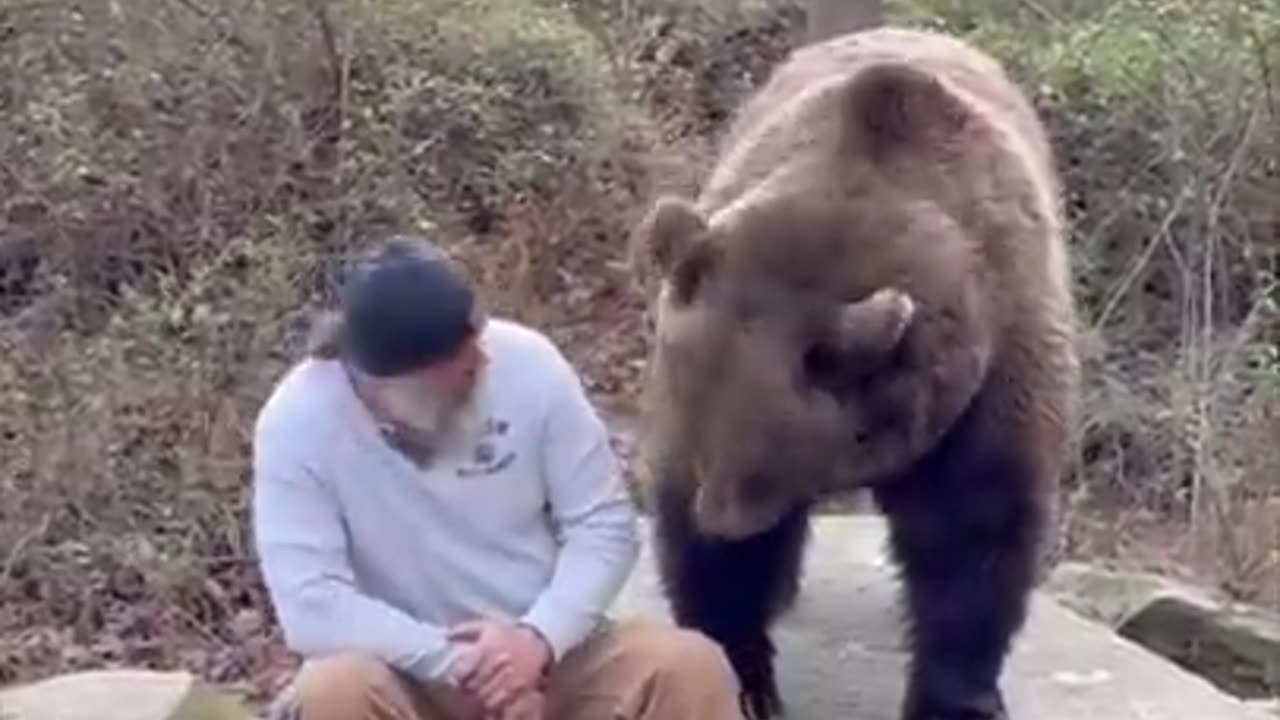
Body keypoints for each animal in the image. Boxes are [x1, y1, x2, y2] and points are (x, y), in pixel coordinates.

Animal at [629, 23, 1080, 717]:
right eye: (701, 447)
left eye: (759, 468)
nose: (721, 520)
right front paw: (743, 670)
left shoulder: (999, 366)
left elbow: (974, 533)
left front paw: (957, 697)